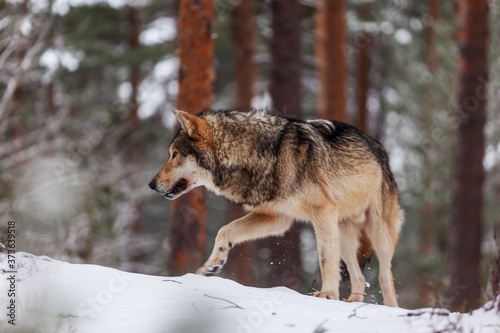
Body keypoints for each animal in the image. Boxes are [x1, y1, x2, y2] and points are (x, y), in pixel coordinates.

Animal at [148, 109, 402, 306]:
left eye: (174, 155)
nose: (151, 184)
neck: (265, 156)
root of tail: (381, 150)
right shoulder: (277, 218)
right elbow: (224, 231)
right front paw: (212, 265)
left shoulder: (322, 212)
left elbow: (324, 258)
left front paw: (328, 295)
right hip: (344, 236)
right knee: (359, 278)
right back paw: (351, 302)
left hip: (378, 234)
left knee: (385, 278)